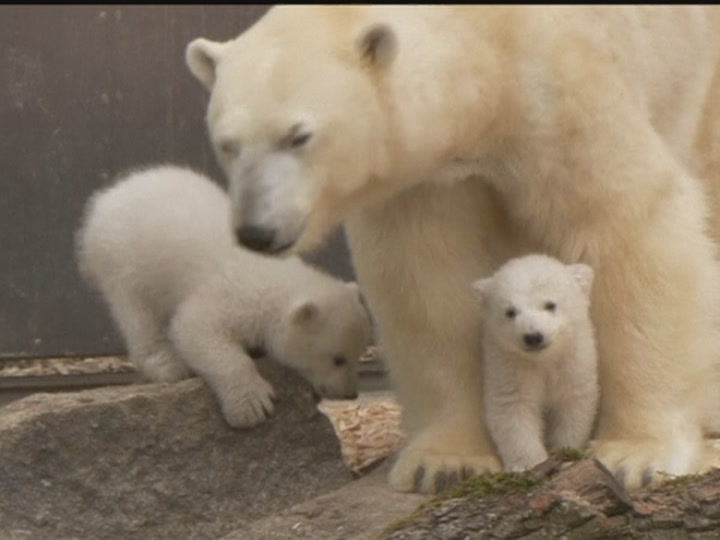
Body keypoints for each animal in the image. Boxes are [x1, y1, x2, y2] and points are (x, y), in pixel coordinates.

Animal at [187, 5, 720, 494]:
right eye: (227, 144)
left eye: (299, 135)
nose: (257, 231)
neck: (488, 40)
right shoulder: (424, 179)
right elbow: (427, 281)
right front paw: (444, 463)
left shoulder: (562, 94)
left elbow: (628, 229)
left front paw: (639, 454)